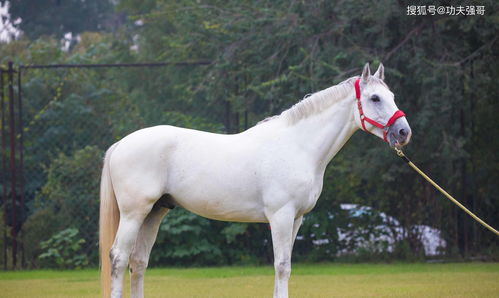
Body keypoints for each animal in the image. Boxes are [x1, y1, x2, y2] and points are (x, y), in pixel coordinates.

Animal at [99, 62, 412, 296]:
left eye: (393, 97)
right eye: (375, 98)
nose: (403, 132)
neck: (297, 145)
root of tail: (121, 144)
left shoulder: (296, 219)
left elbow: (285, 266)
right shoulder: (281, 216)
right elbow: (281, 265)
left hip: (155, 212)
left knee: (138, 262)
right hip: (134, 213)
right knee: (118, 258)